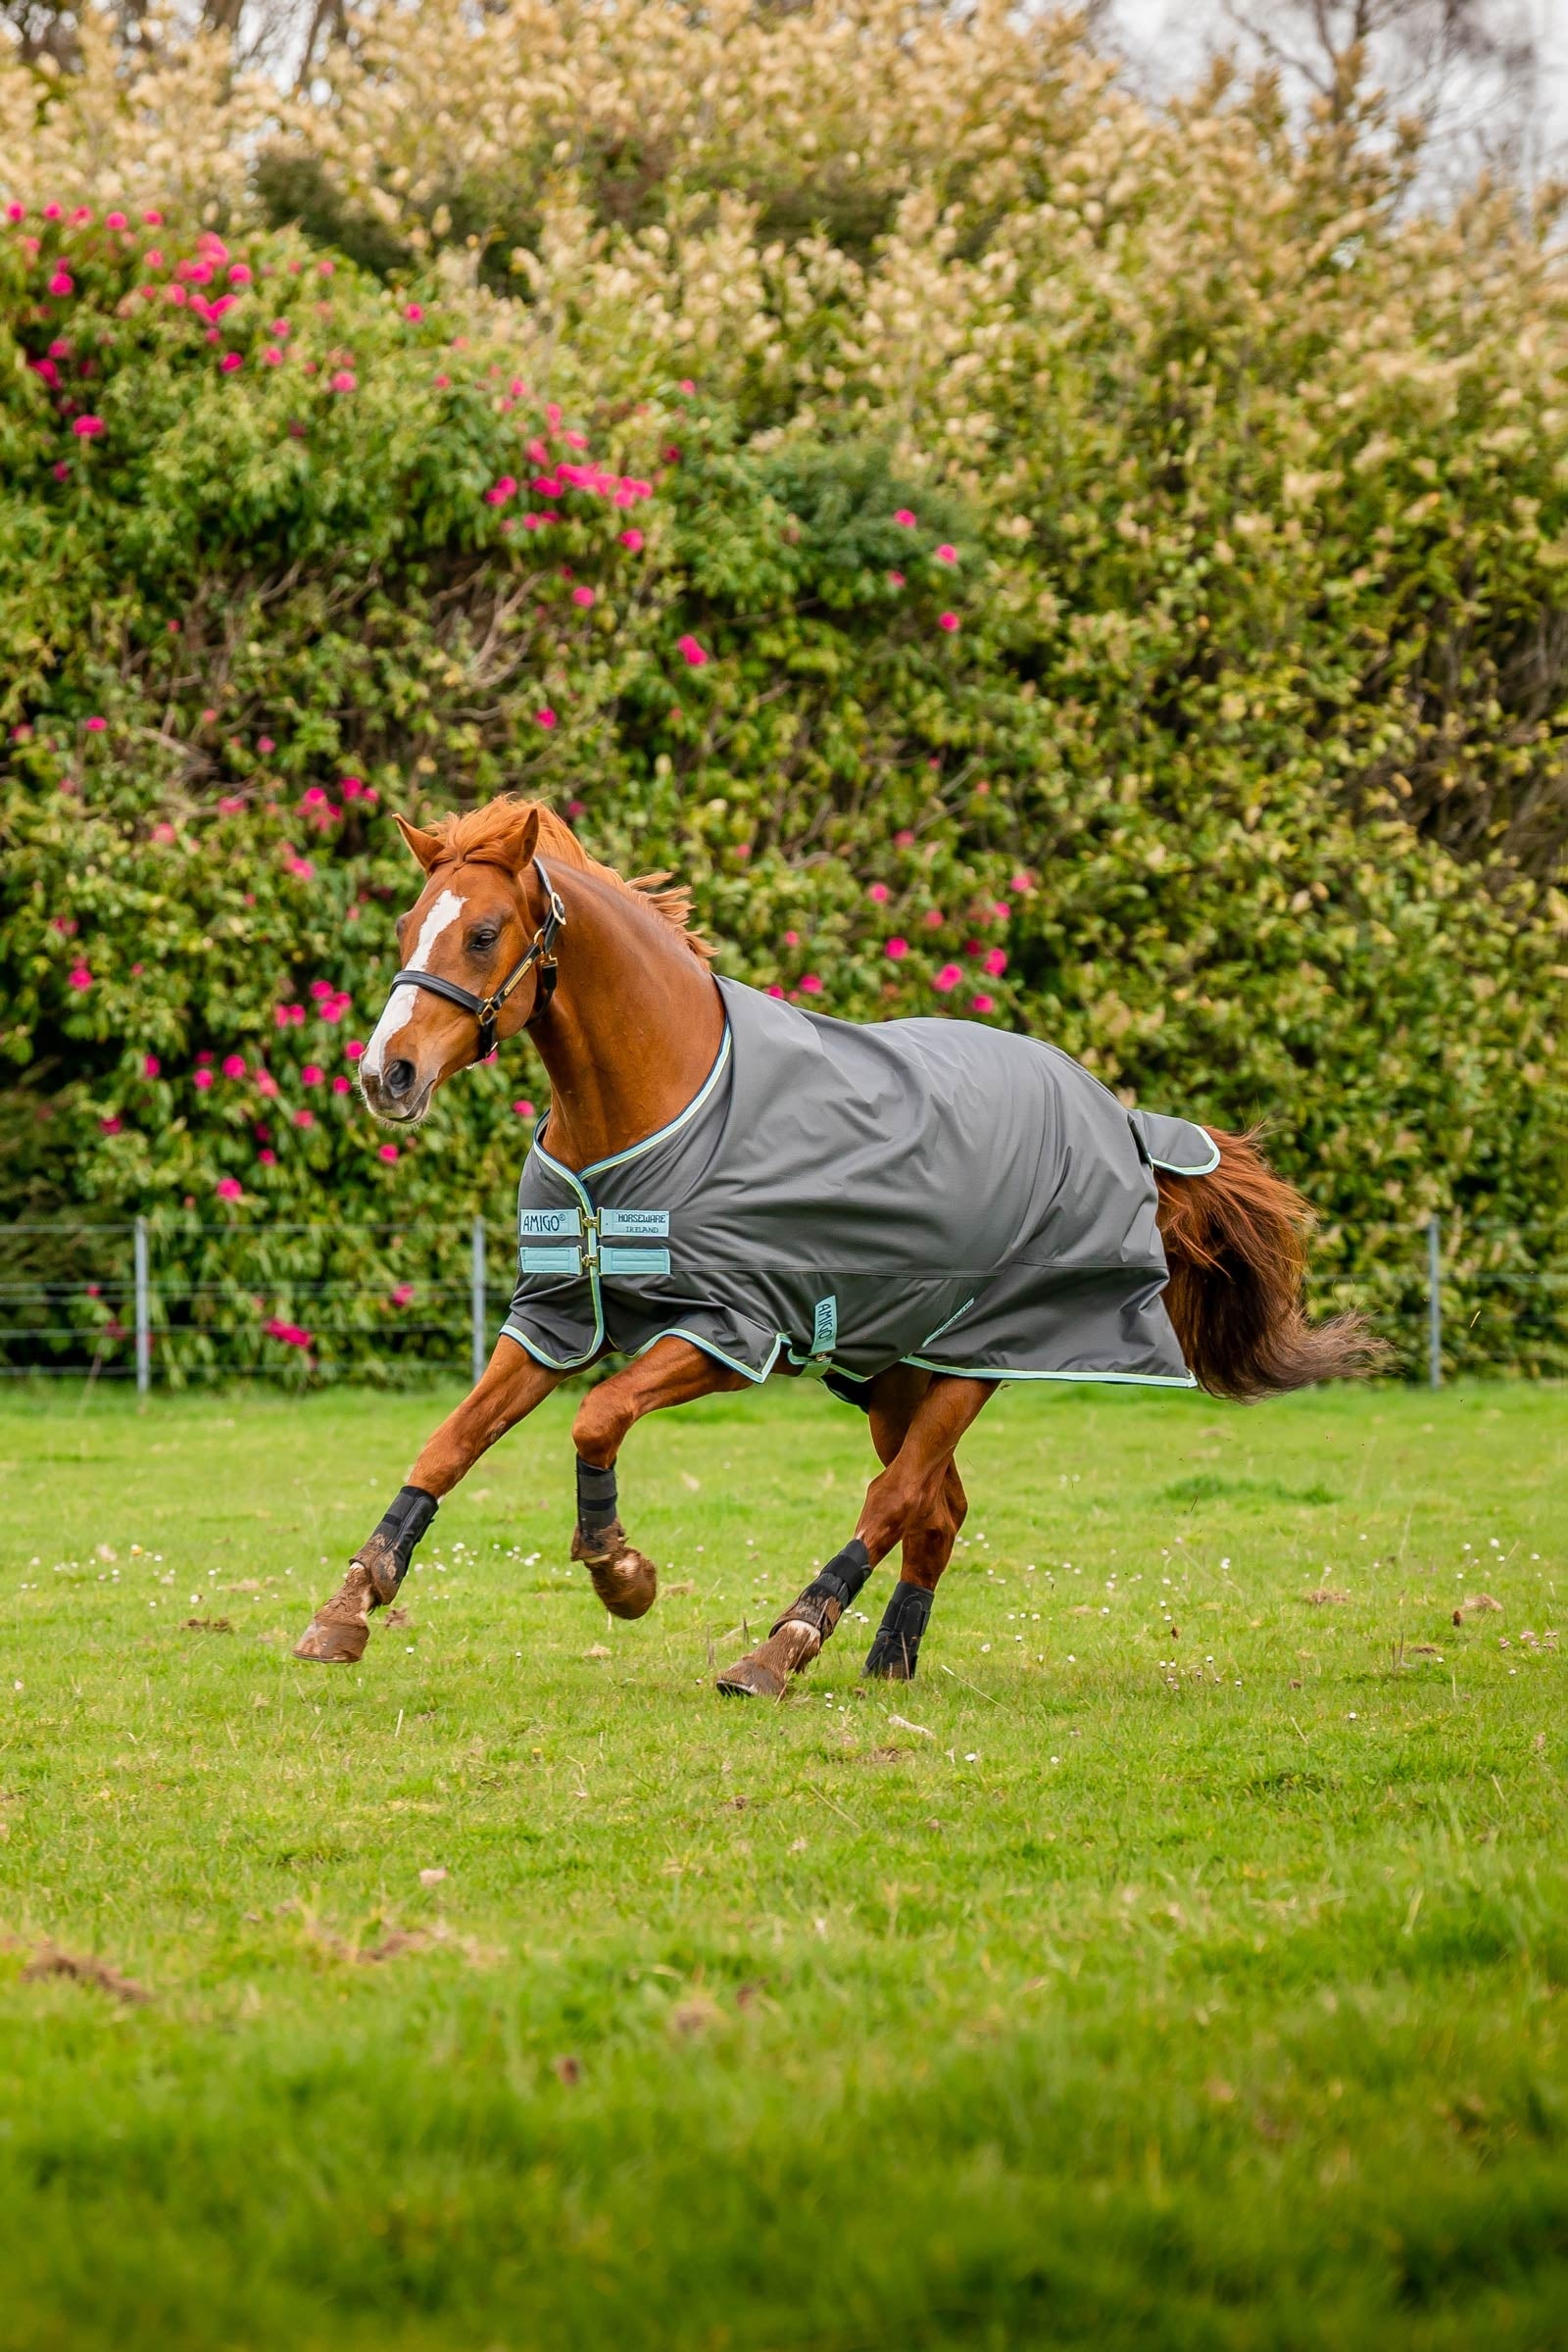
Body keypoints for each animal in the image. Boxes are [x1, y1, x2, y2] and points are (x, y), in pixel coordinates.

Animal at [292, 795, 1378, 1696]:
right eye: (408, 929)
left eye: (483, 934)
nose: (385, 1074)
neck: (659, 1105)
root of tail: (1118, 1117)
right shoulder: (555, 1317)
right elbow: (448, 1443)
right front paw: (350, 1606)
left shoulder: (729, 1334)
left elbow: (597, 1418)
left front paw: (621, 1573)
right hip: (897, 1371)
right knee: (939, 1512)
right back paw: (885, 1658)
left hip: (979, 1357)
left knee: (896, 1501)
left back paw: (781, 1647)